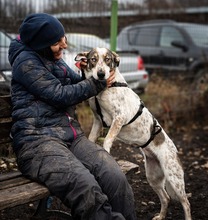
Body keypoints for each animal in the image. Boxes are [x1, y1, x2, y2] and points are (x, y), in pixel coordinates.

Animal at [75, 48, 192, 220]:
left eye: (108, 59)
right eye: (93, 59)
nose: (101, 74)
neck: (105, 88)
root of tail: (175, 151)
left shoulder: (120, 117)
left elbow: (107, 140)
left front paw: (106, 153)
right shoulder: (97, 120)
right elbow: (92, 138)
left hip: (174, 178)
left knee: (186, 202)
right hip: (152, 176)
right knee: (166, 197)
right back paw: (160, 216)